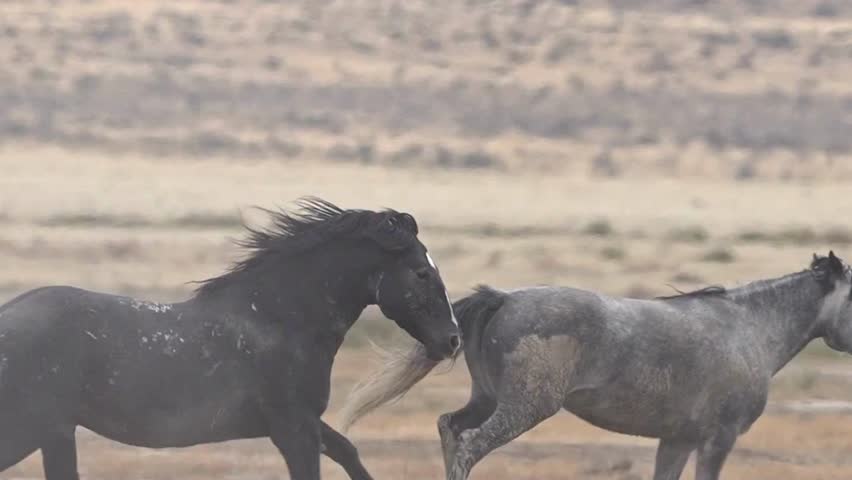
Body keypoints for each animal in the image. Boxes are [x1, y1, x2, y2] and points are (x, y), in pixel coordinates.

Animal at [0, 197, 461, 480]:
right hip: (35, 427)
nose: (453, 340)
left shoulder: (302, 421)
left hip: (54, 433)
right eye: (422, 272)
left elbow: (349, 451)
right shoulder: (291, 427)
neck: (281, 319)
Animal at [341, 251, 852, 480]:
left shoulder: (678, 439)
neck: (750, 328)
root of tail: (502, 298)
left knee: (450, 427)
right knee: (470, 445)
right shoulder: (717, 438)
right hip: (523, 409)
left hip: (486, 398)